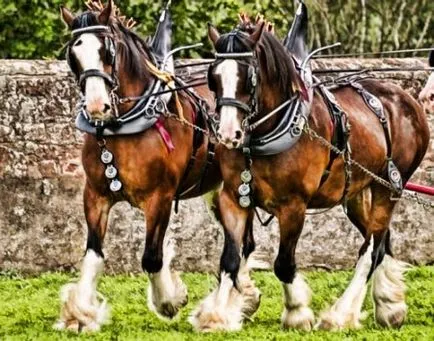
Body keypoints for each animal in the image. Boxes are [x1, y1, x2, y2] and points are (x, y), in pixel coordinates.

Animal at [55, 0, 220, 330]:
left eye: (107, 51)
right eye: (73, 55)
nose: (97, 106)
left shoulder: (160, 198)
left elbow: (151, 257)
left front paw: (168, 302)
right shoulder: (95, 195)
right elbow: (93, 255)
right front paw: (80, 313)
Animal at [192, 6, 430, 334]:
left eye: (248, 78)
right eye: (214, 78)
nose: (229, 134)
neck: (269, 130)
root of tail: (406, 98)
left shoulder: (293, 206)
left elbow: (283, 264)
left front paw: (297, 313)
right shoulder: (233, 198)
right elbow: (230, 258)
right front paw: (215, 315)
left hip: (389, 187)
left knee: (370, 249)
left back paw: (341, 314)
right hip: (357, 191)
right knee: (381, 241)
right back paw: (389, 306)